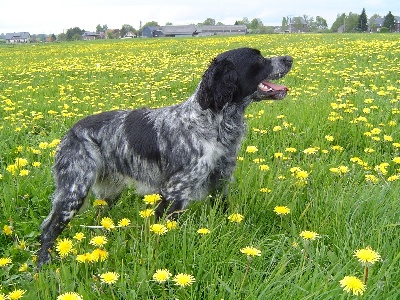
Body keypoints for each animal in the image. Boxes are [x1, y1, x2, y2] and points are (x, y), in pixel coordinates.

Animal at [37, 47, 292, 268]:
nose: (289, 58)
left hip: (109, 192)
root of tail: (71, 132)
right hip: (74, 190)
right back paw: (42, 266)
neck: (212, 123)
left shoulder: (220, 182)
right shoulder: (174, 192)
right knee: (48, 229)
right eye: (258, 59)